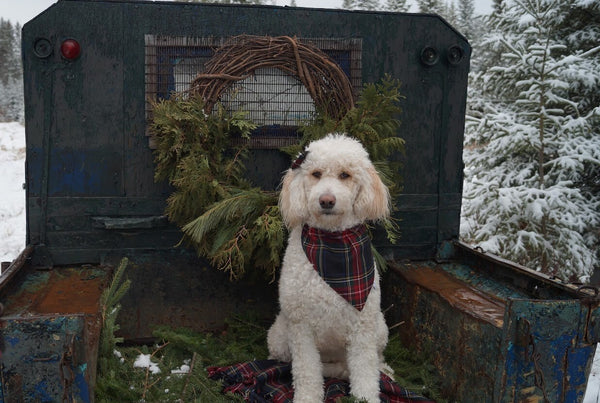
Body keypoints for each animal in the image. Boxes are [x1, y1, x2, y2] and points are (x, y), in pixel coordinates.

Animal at [268, 134, 392, 402]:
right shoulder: (301, 328)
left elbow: (366, 372)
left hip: (380, 328)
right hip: (279, 337)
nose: (326, 200)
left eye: (345, 175)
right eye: (316, 174)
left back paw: (384, 370)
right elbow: (306, 372)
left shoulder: (362, 328)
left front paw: (365, 397)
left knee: (375, 358)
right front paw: (307, 398)